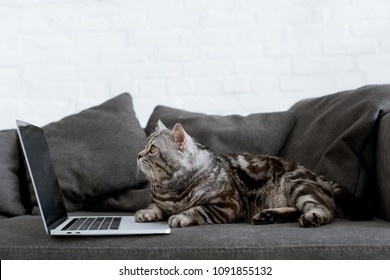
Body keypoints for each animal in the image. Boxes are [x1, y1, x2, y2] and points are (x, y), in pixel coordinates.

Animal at [135, 120, 372, 228]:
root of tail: (320, 176)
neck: (171, 187)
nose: (138, 155)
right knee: (297, 209)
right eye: (144, 145)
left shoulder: (226, 205)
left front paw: (181, 216)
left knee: (323, 209)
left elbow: (196, 210)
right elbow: (154, 206)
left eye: (152, 149)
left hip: (296, 183)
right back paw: (269, 216)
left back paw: (312, 217)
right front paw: (146, 212)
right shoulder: (161, 201)